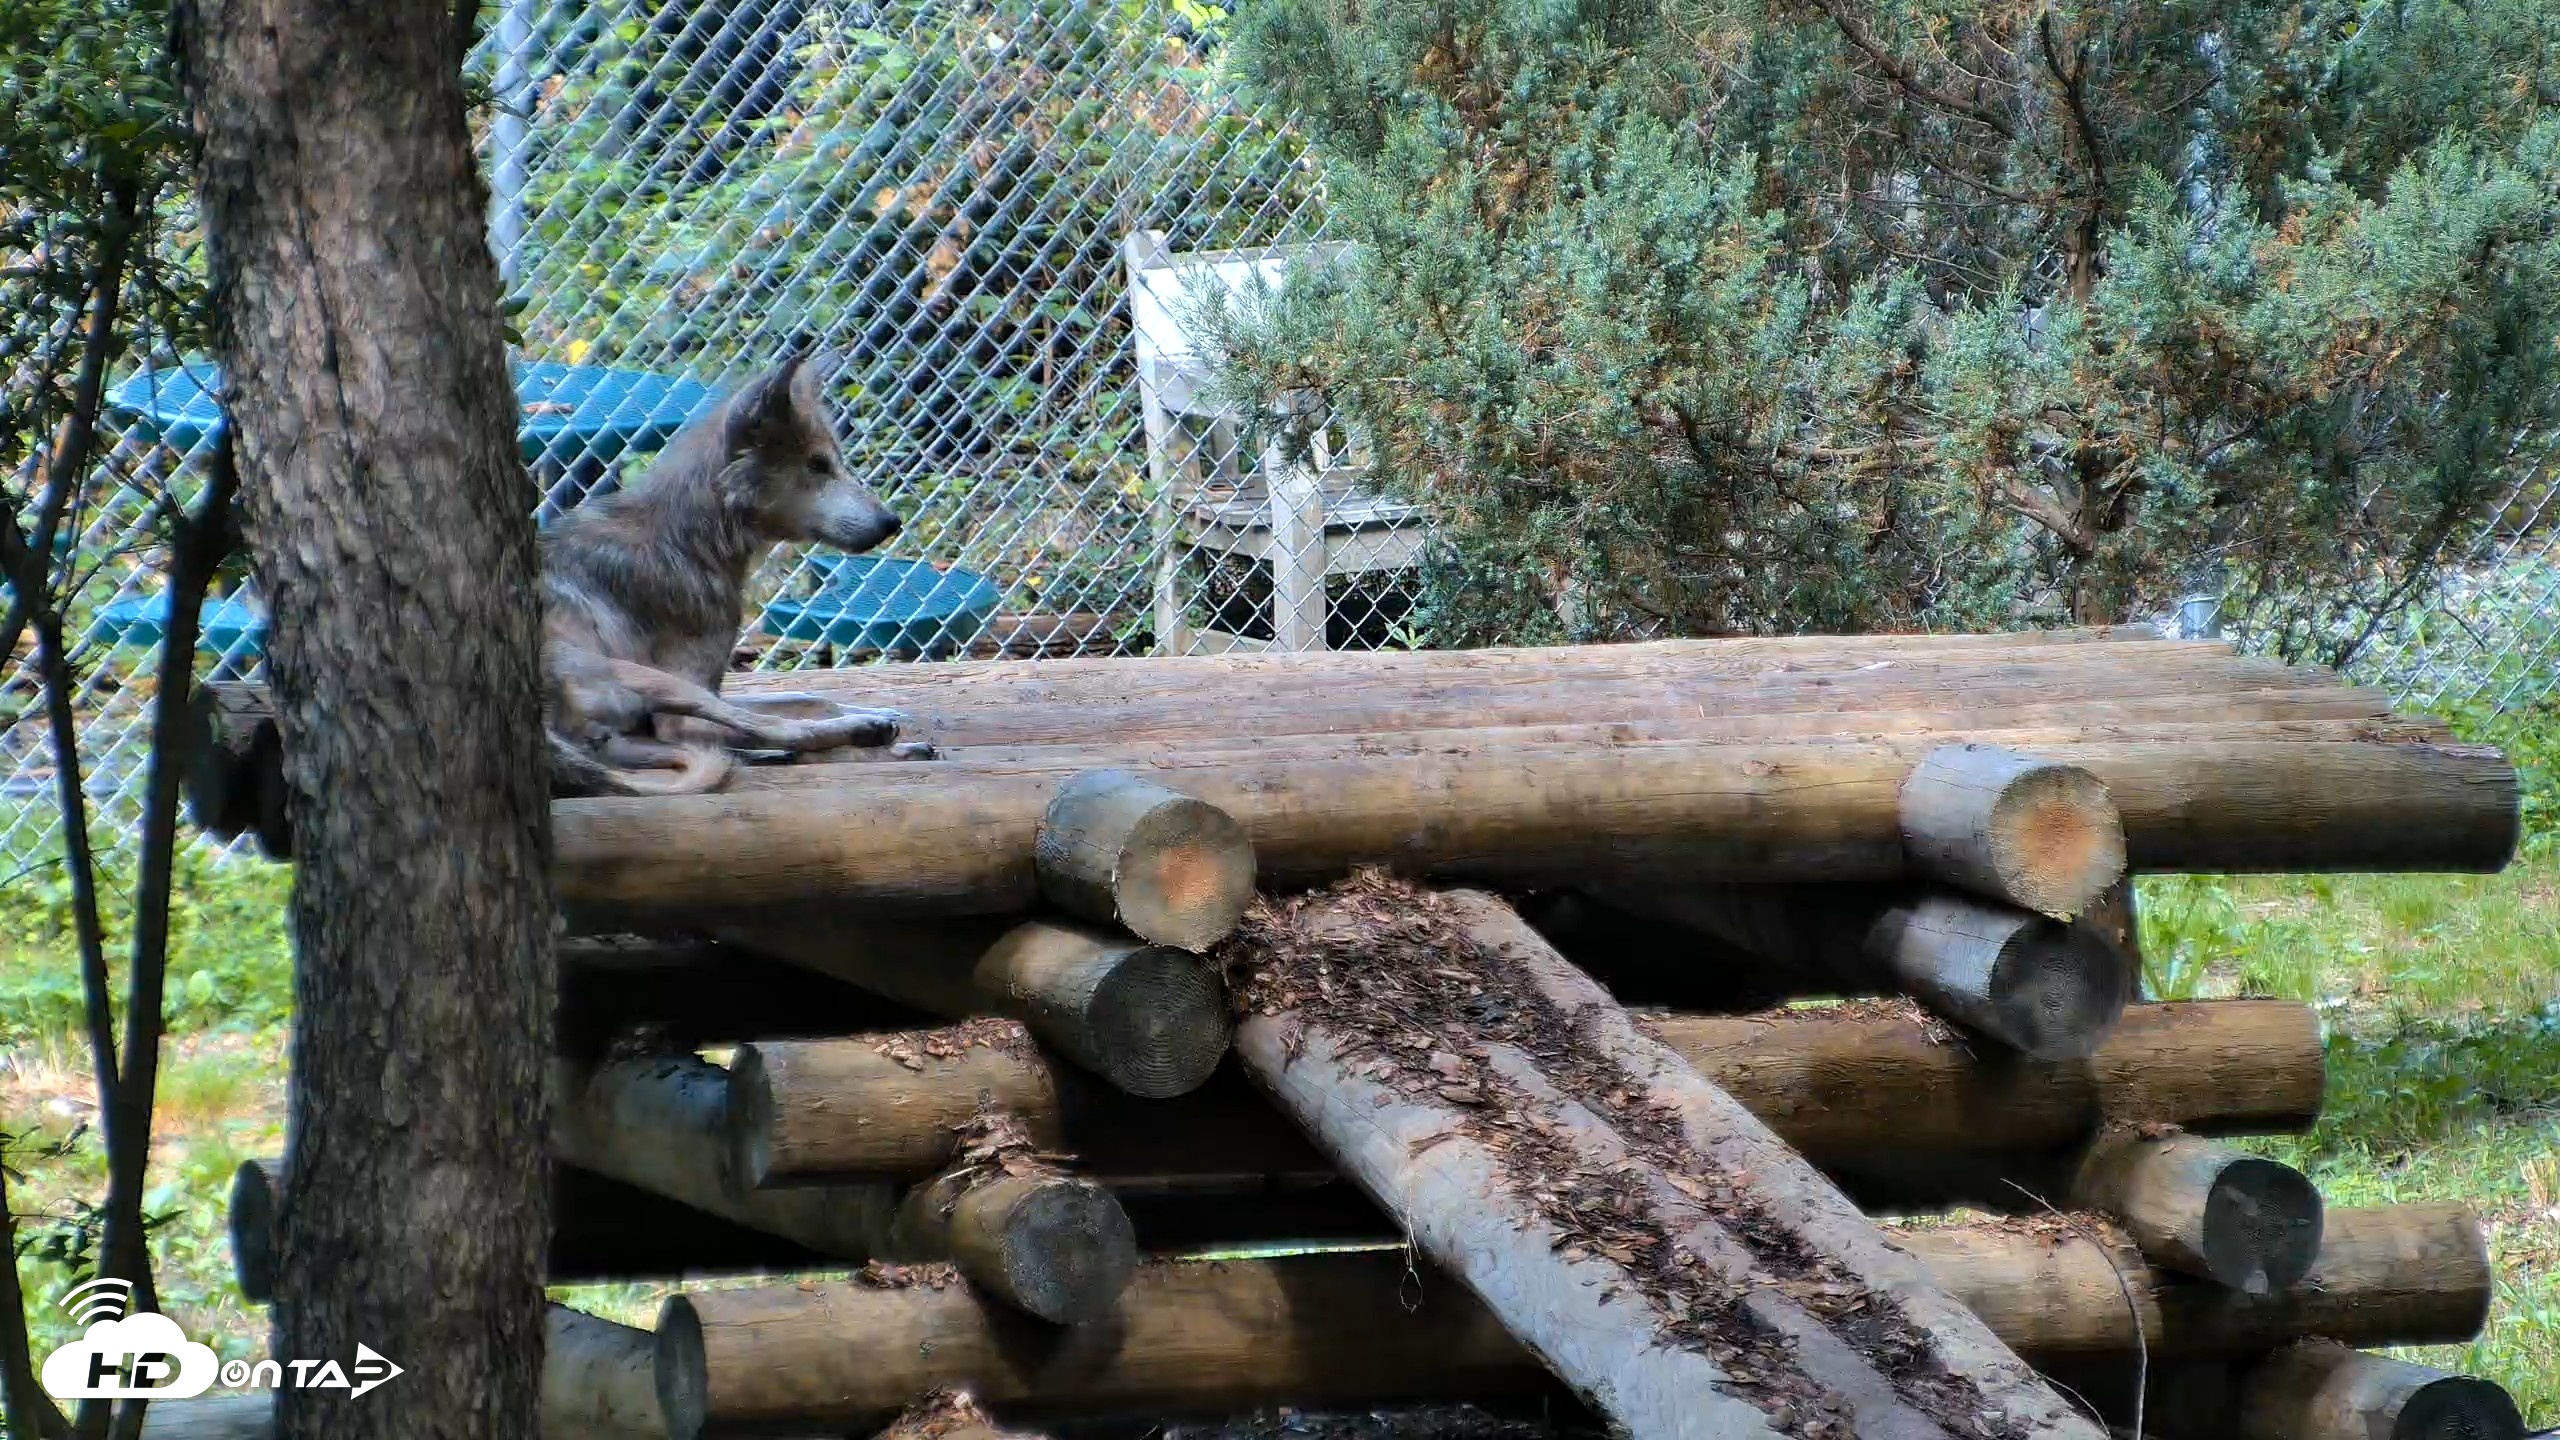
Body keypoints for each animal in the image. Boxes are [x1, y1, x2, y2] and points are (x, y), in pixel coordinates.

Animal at [541, 350, 912, 797]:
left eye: (833, 461)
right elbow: (793, 713)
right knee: (778, 733)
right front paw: (874, 723)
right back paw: (864, 733)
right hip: (657, 685)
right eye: (818, 465)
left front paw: (884, 713)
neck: (688, 539)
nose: (892, 522)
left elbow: (811, 695)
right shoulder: (689, 704)